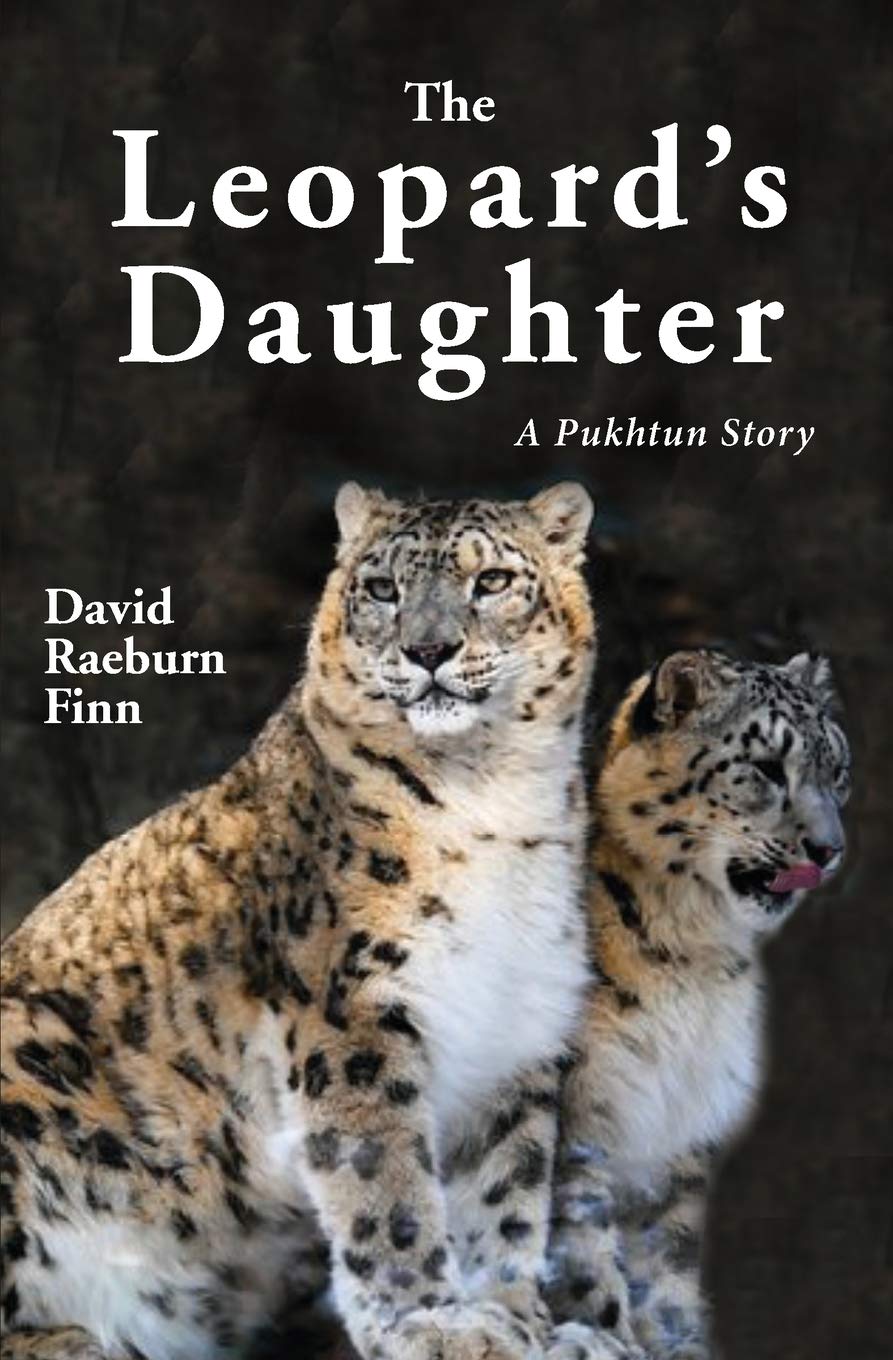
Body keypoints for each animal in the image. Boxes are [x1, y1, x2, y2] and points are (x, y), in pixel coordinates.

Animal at [0, 481, 604, 1360]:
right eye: (382, 588)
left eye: (490, 580)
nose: (428, 649)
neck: (491, 798)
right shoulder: (354, 1011)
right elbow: (385, 1181)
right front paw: (430, 1322)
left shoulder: (518, 1022)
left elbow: (507, 1191)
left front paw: (521, 1319)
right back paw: (71, 1339)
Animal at [546, 648, 851, 1360]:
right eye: (766, 767)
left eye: (838, 770)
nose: (829, 850)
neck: (695, 959)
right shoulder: (580, 1112)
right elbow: (580, 1248)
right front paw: (605, 1336)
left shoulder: (683, 1129)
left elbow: (668, 1262)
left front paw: (677, 1341)